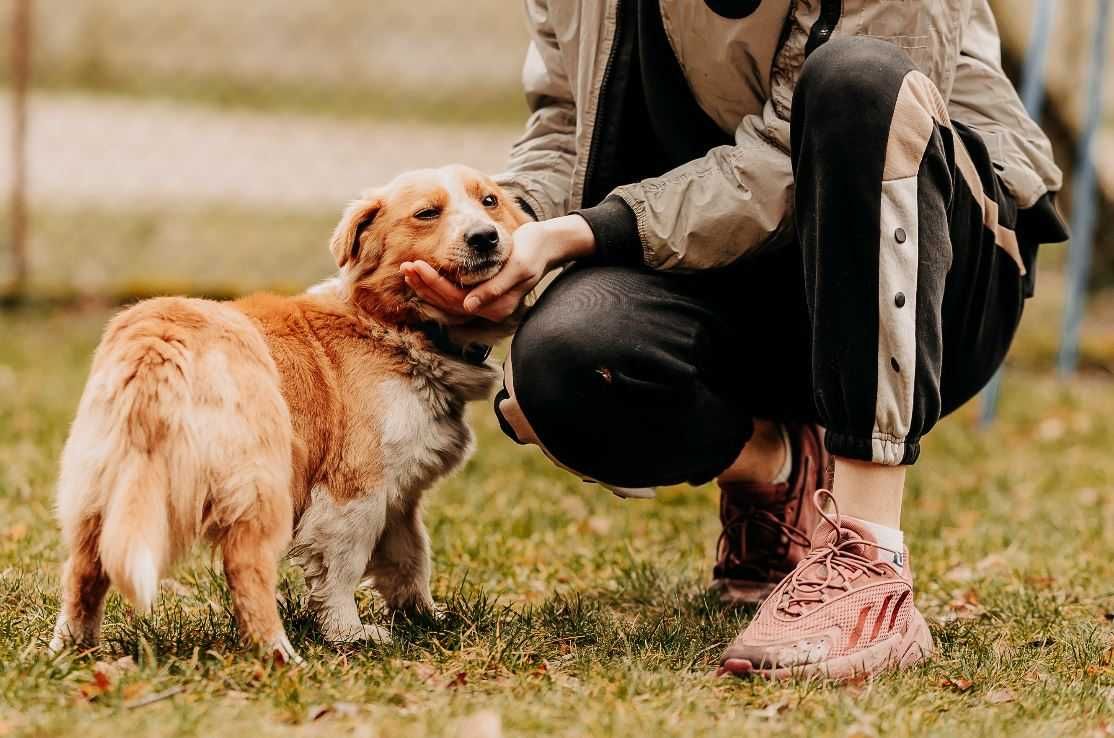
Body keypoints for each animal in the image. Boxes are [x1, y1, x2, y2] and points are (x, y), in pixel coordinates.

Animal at [46, 164, 525, 659]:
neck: (393, 326)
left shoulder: (400, 496)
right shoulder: (354, 490)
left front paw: (426, 617)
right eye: (427, 213)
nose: (485, 238)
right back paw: (279, 653)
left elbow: (410, 559)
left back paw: (71, 649)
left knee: (84, 570)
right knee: (246, 568)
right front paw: (348, 633)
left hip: (103, 490)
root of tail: (160, 341)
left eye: (489, 202)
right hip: (261, 487)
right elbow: (342, 571)